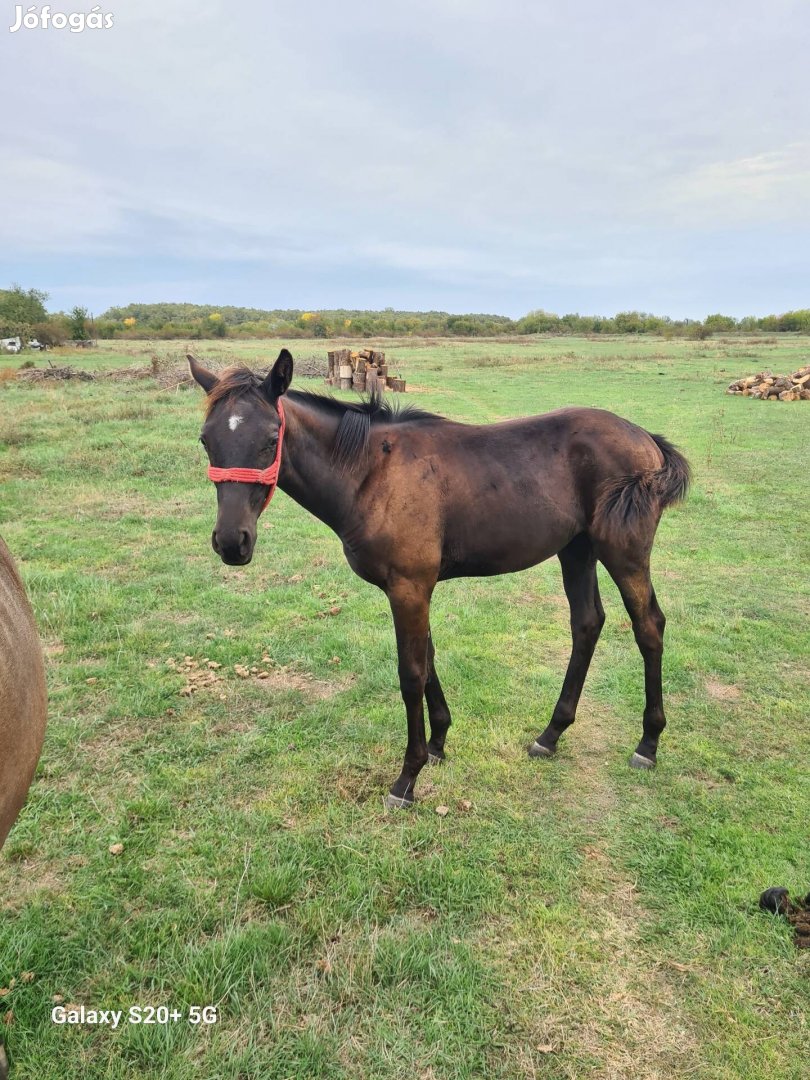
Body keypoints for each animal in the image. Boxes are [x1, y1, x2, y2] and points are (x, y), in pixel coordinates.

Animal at [189, 354, 691, 812]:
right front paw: (438, 744)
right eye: (205, 439)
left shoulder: (409, 588)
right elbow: (428, 659)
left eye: (271, 439)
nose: (232, 542)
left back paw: (647, 744)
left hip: (623, 552)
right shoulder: (414, 588)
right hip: (577, 549)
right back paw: (550, 734)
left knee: (648, 626)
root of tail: (645, 438)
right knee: (587, 623)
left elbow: (411, 674)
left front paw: (406, 779)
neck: (371, 473)